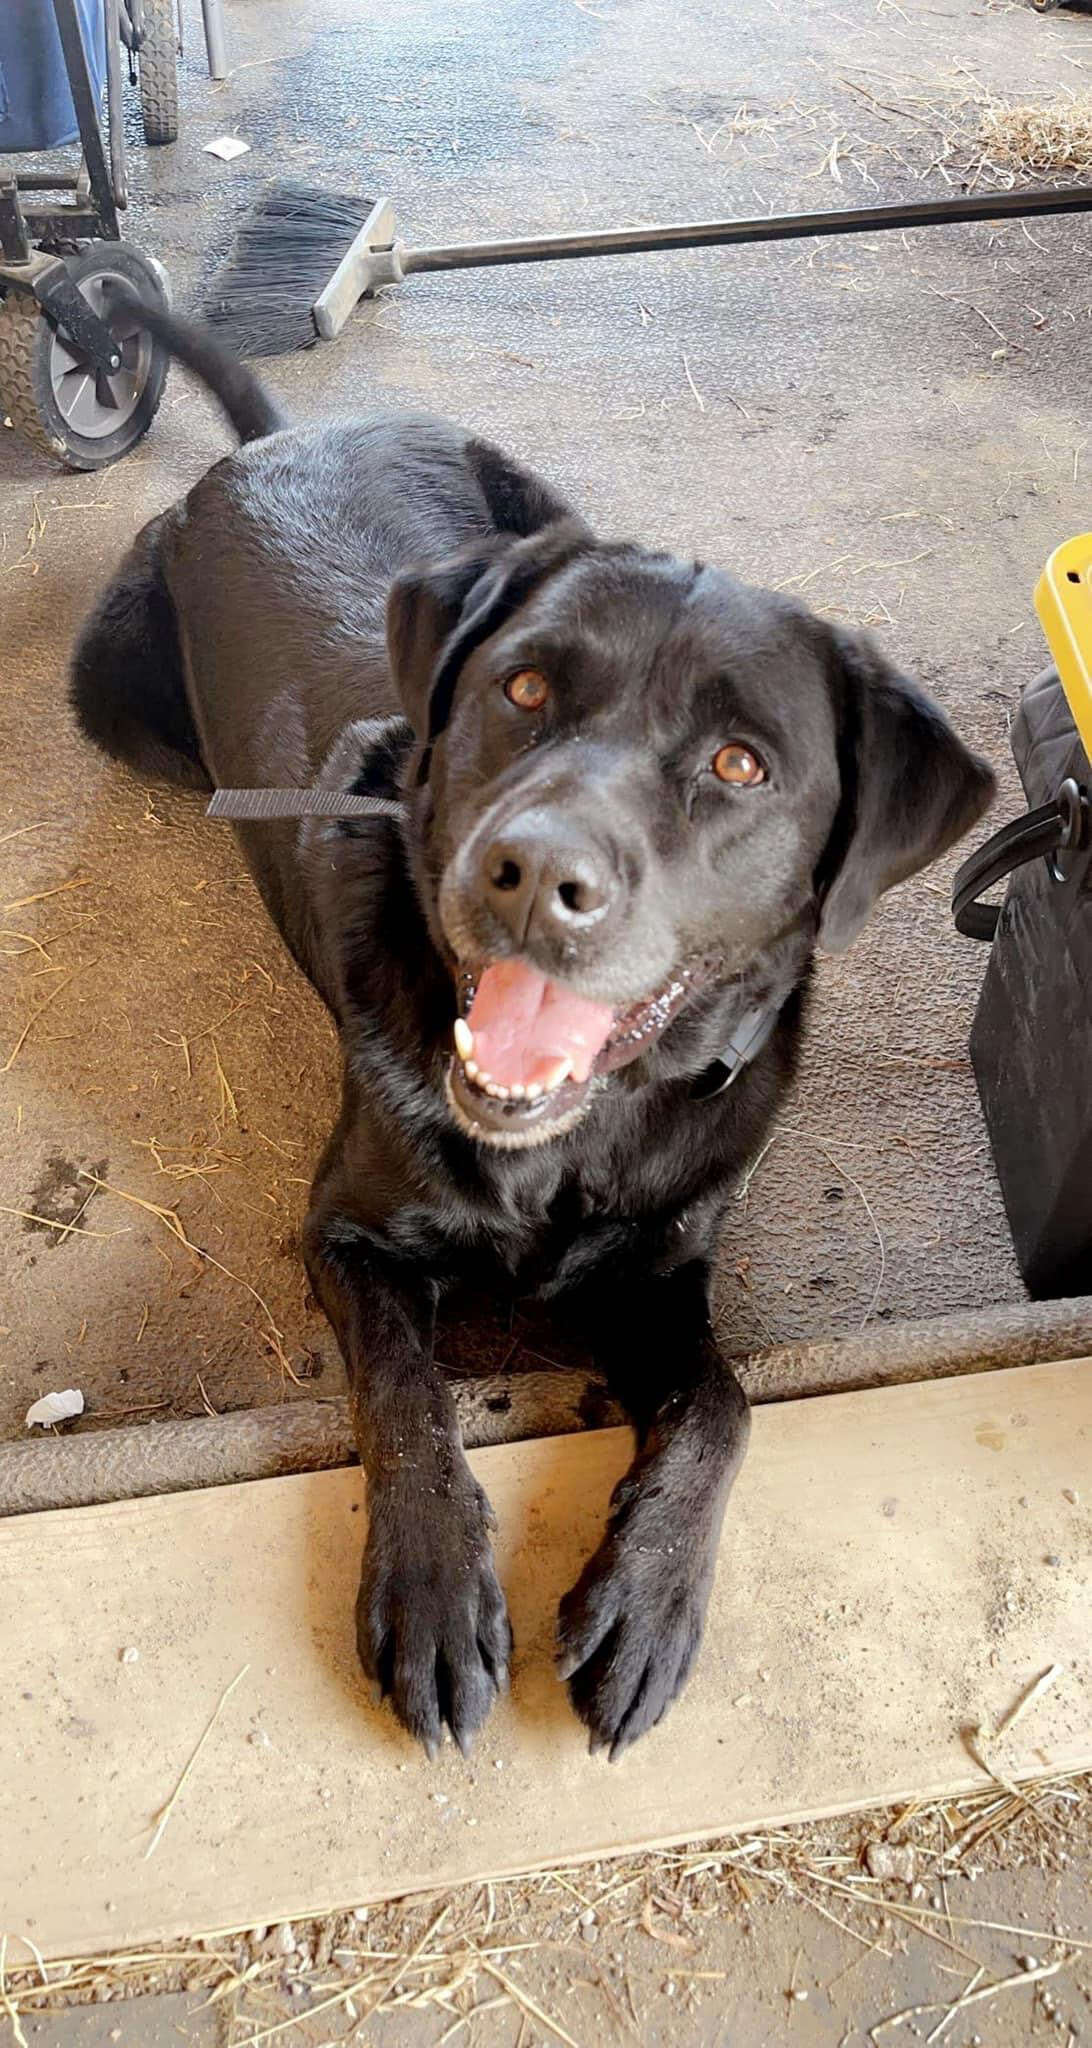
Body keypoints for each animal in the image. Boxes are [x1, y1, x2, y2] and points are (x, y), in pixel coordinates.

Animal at [66, 303, 987, 1761]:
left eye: (740, 762)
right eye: (526, 689)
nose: (531, 871)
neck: (571, 1142)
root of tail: (278, 439)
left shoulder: (661, 1271)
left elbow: (724, 1403)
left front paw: (645, 1599)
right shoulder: (347, 1233)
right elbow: (406, 1393)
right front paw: (434, 1590)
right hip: (113, 689)